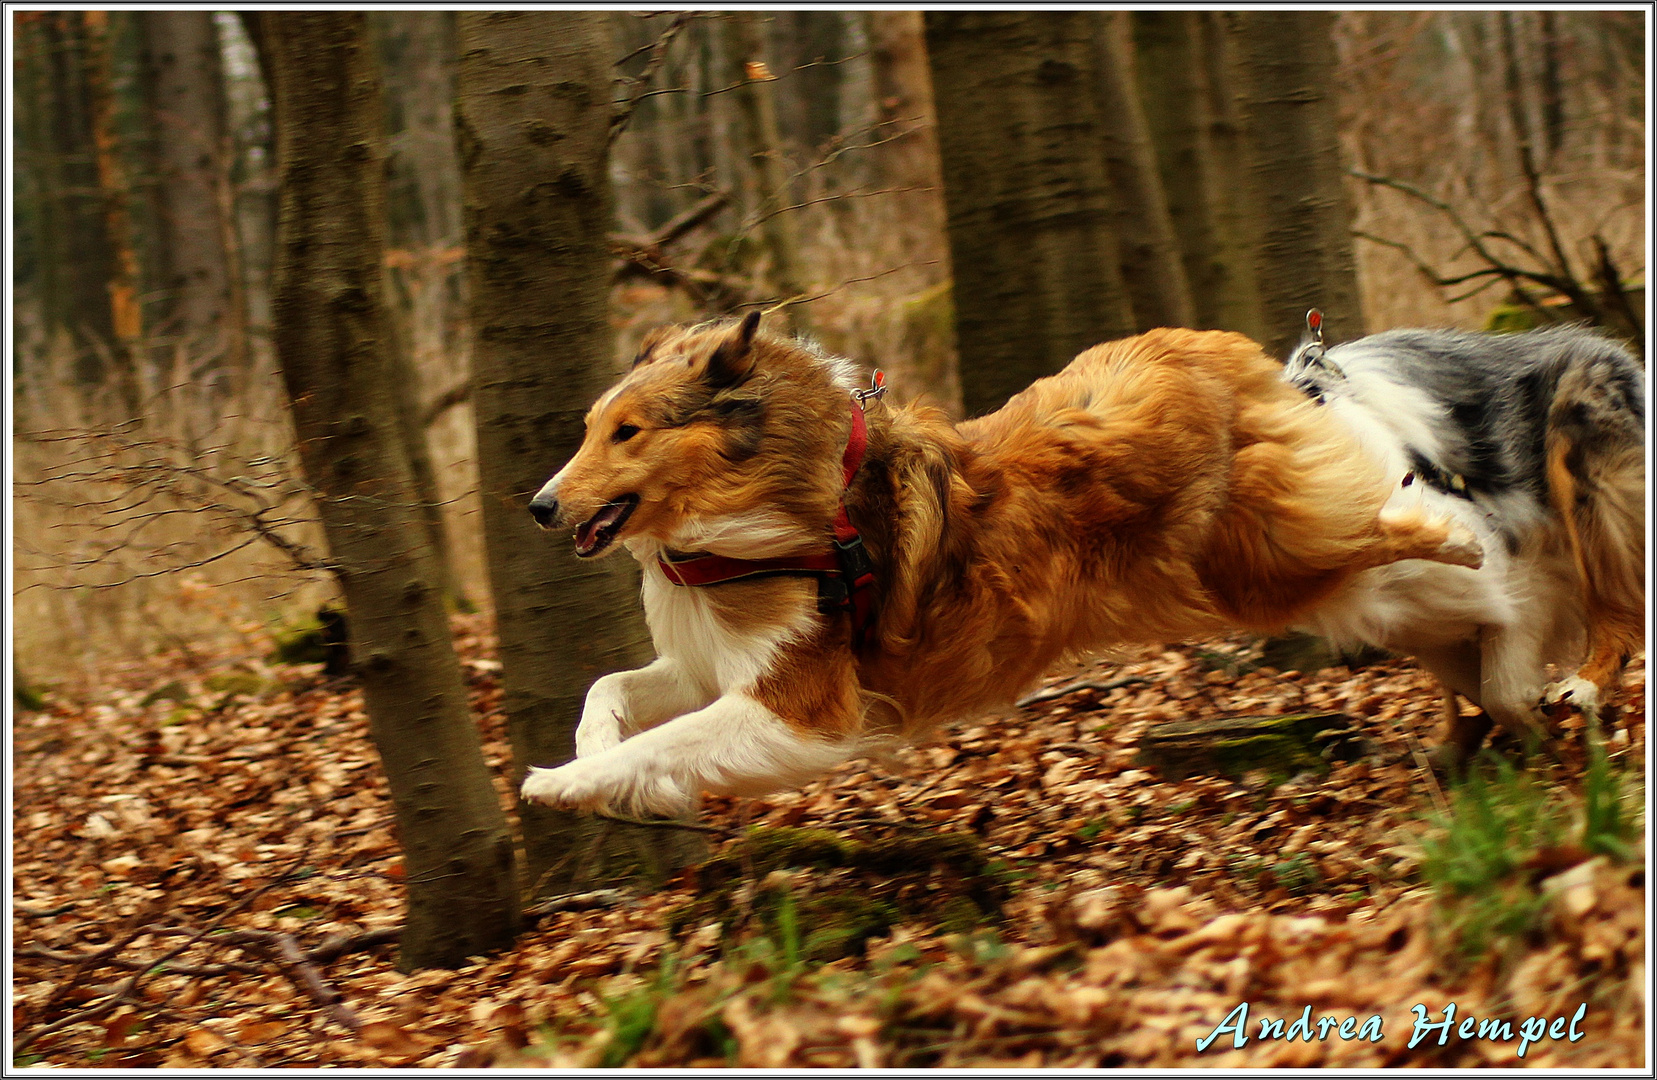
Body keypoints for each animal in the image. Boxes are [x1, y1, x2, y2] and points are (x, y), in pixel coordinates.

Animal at [523, 316, 1484, 814]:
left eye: (628, 432)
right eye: (590, 428)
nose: (539, 507)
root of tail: (1192, 344)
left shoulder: (801, 713)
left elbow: (666, 746)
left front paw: (557, 784)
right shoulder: (704, 665)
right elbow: (607, 691)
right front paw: (586, 748)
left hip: (1253, 566)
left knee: (1377, 514)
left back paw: (1459, 537)